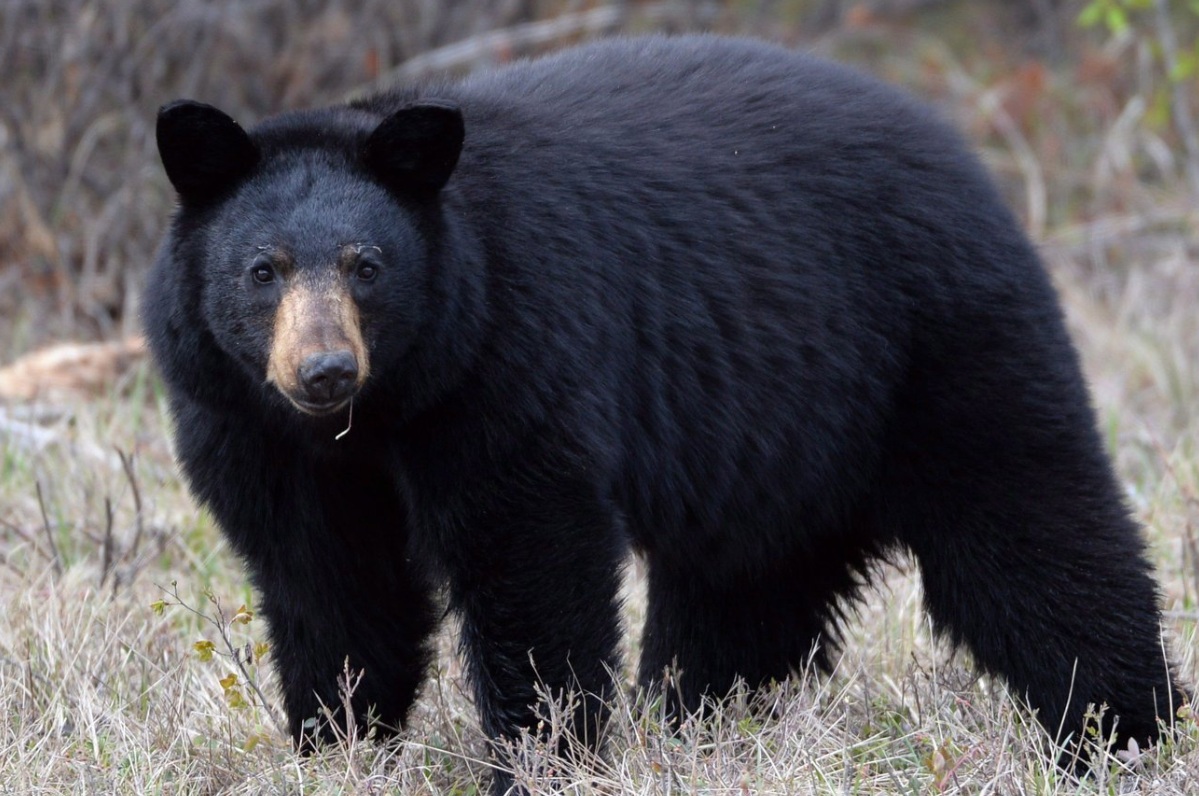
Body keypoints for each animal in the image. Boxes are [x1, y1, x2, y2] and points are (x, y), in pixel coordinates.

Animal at [145, 35, 1185, 792]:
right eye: (263, 269)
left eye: (368, 265)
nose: (324, 369)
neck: (382, 411)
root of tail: (965, 162)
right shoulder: (251, 429)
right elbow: (331, 585)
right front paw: (339, 746)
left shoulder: (508, 361)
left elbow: (530, 557)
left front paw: (541, 760)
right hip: (778, 442)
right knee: (742, 598)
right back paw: (703, 726)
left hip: (939, 350)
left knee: (1034, 532)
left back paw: (1124, 732)